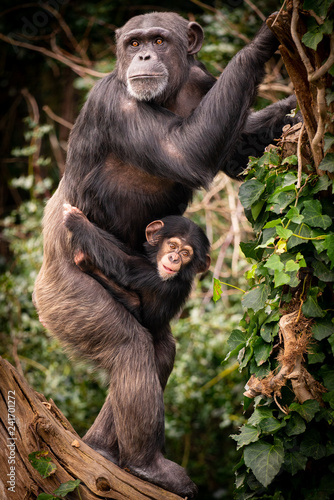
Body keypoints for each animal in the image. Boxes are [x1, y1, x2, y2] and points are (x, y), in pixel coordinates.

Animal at [63, 205, 210, 334]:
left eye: (185, 254)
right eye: (172, 246)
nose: (174, 258)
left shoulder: (158, 280)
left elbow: (126, 265)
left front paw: (77, 220)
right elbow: (124, 249)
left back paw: (87, 264)